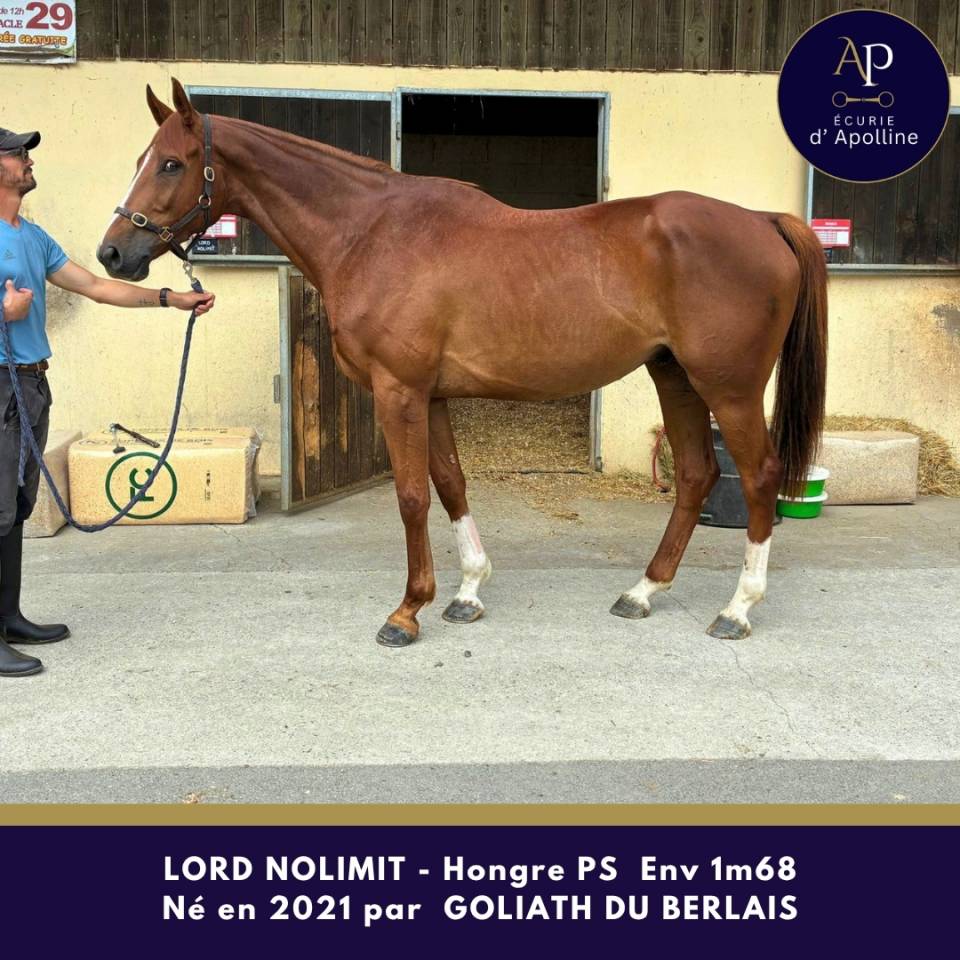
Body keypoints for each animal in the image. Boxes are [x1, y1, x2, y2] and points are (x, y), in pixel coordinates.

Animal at [97, 79, 827, 649]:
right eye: (140, 159)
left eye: (171, 164)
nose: (112, 253)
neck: (370, 233)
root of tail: (763, 220)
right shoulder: (433, 394)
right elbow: (450, 484)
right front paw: (467, 593)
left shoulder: (398, 390)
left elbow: (412, 495)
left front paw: (406, 611)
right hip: (673, 375)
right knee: (697, 475)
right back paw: (642, 591)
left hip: (729, 387)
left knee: (759, 477)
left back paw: (736, 609)